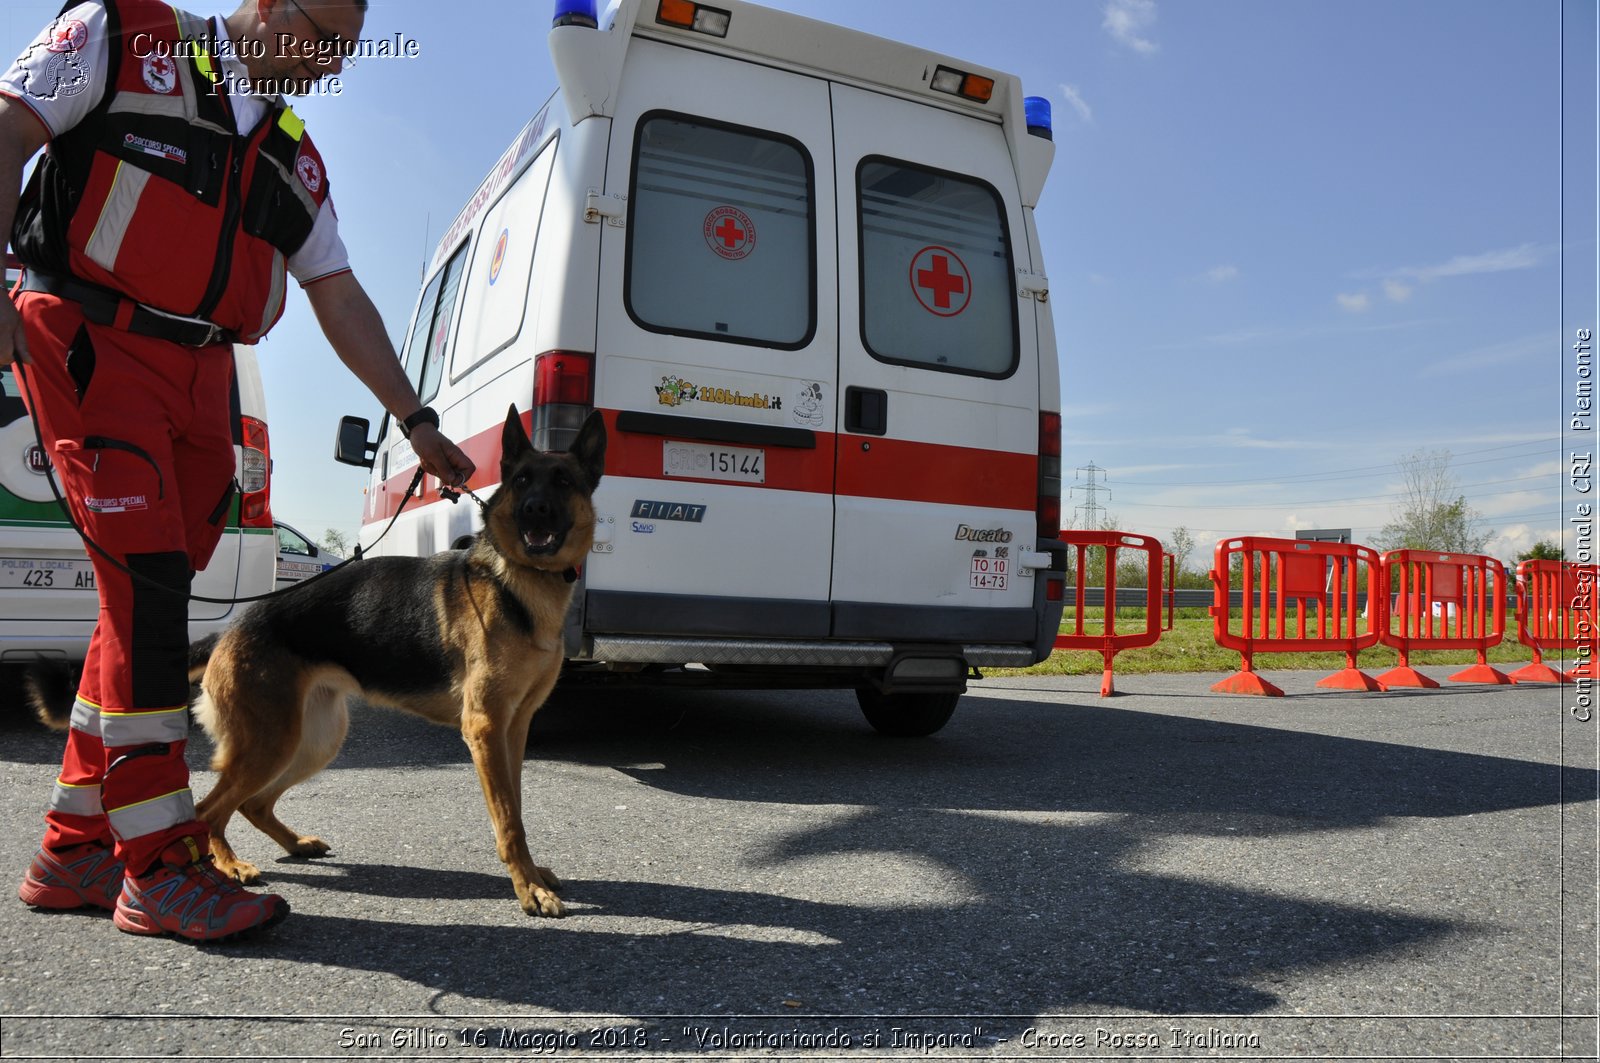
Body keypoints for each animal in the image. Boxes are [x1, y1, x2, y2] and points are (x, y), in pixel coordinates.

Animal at [25, 403, 604, 915]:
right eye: (523, 481)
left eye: (563, 482)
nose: (534, 512)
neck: (522, 581)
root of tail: (231, 629)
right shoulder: (485, 728)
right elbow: (507, 818)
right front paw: (528, 889)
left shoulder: (514, 729)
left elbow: (517, 808)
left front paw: (533, 873)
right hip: (272, 742)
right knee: (209, 810)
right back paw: (229, 866)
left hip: (313, 739)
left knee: (252, 803)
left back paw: (291, 844)